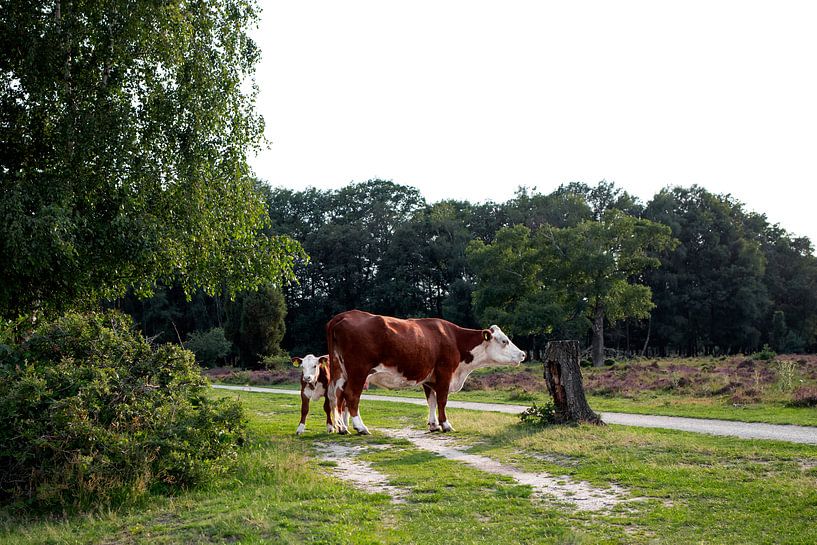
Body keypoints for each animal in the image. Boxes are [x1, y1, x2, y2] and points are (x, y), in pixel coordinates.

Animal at [326, 310, 526, 435]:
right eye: (504, 341)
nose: (523, 354)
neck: (454, 340)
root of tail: (343, 315)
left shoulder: (429, 378)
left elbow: (431, 401)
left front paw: (433, 425)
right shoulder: (445, 372)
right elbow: (442, 401)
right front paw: (446, 425)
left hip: (340, 372)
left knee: (338, 396)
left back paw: (343, 428)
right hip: (358, 371)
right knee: (351, 396)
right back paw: (361, 427)